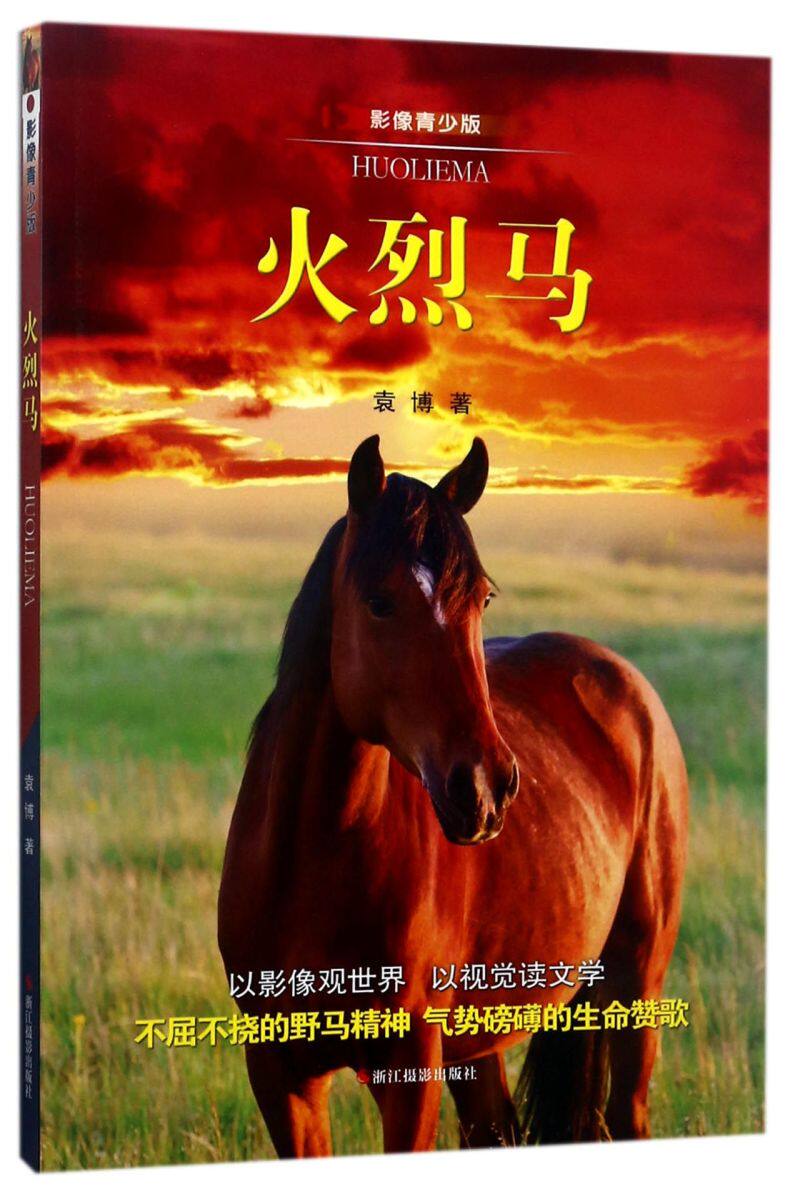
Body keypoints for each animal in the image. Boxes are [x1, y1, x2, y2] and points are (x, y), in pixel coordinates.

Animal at [218, 435, 688, 1156]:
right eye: (379, 602)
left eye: (483, 599)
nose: (487, 786)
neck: (310, 866)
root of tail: (624, 681)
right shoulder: (279, 1072)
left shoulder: (411, 1069)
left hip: (636, 985)